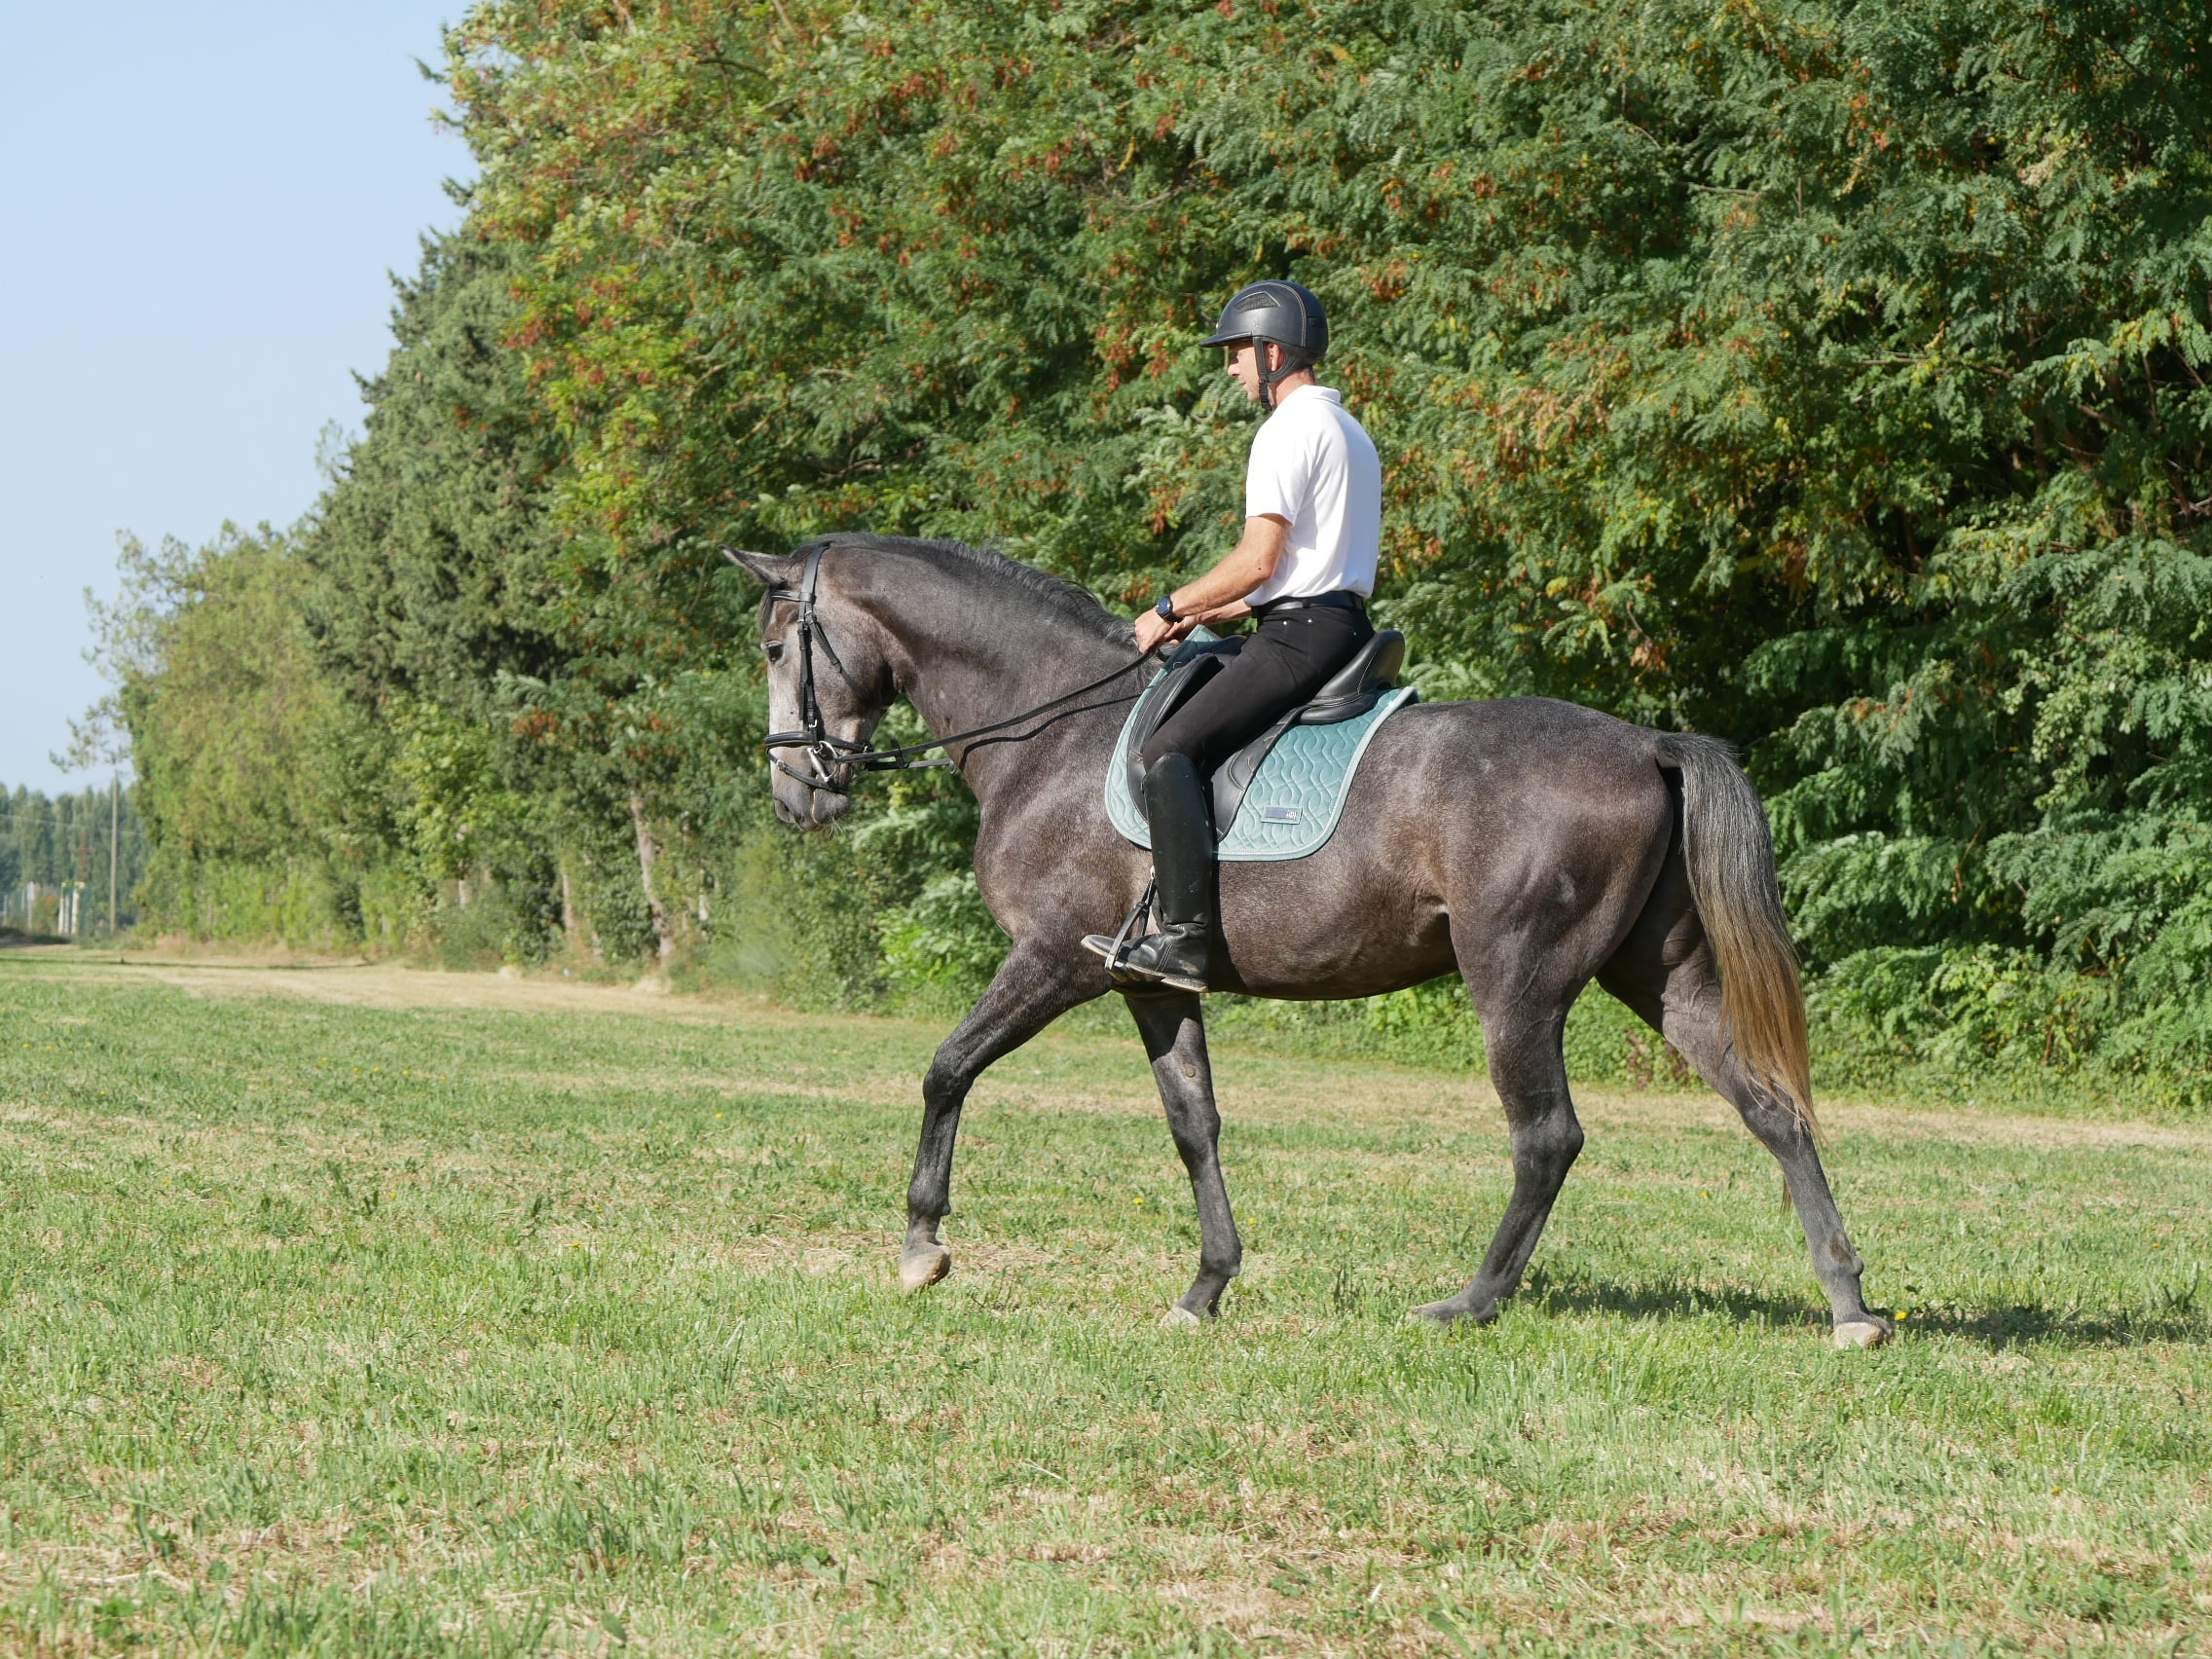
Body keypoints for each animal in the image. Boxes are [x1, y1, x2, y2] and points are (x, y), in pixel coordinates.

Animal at [728, 534, 1890, 1349]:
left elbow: (947, 1070)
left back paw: (1469, 1304)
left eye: (780, 648)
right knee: (1772, 1110)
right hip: (1662, 976)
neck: (1049, 729)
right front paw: (1205, 1288)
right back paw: (1849, 1305)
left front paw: (921, 1247)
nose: (796, 797)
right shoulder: (1150, 984)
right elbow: (1194, 1126)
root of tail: (1649, 742)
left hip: (1516, 982)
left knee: (1547, 1138)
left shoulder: (1053, 960)